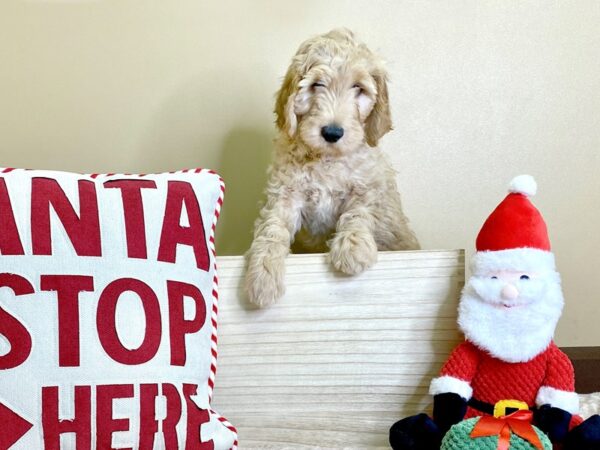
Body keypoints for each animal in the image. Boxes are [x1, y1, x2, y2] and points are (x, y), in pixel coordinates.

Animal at [244, 28, 418, 306]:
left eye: (358, 88)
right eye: (317, 84)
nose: (332, 132)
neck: (327, 159)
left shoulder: (369, 185)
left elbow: (359, 211)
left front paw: (353, 248)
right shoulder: (285, 193)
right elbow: (272, 227)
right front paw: (262, 275)